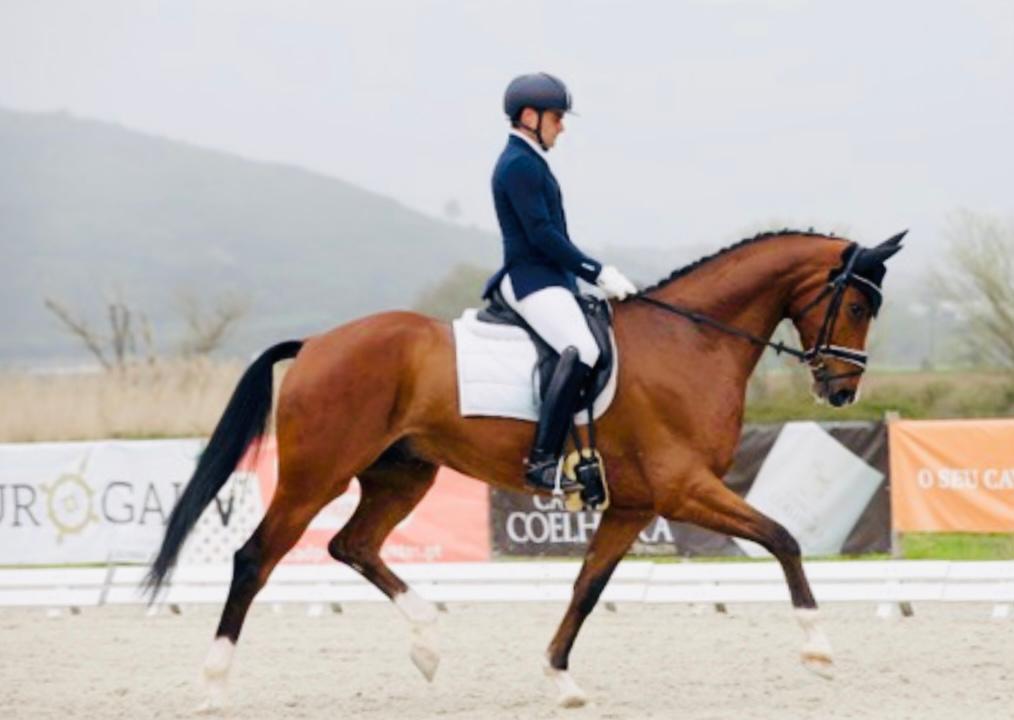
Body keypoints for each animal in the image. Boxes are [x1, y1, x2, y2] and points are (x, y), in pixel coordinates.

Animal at [142, 230, 904, 709]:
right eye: (855, 303)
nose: (841, 392)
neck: (691, 340)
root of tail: (318, 342)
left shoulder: (634, 505)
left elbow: (587, 589)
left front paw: (560, 680)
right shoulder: (683, 488)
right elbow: (783, 537)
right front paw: (818, 650)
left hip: (402, 475)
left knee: (351, 545)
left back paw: (427, 643)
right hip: (315, 476)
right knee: (255, 558)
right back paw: (214, 683)